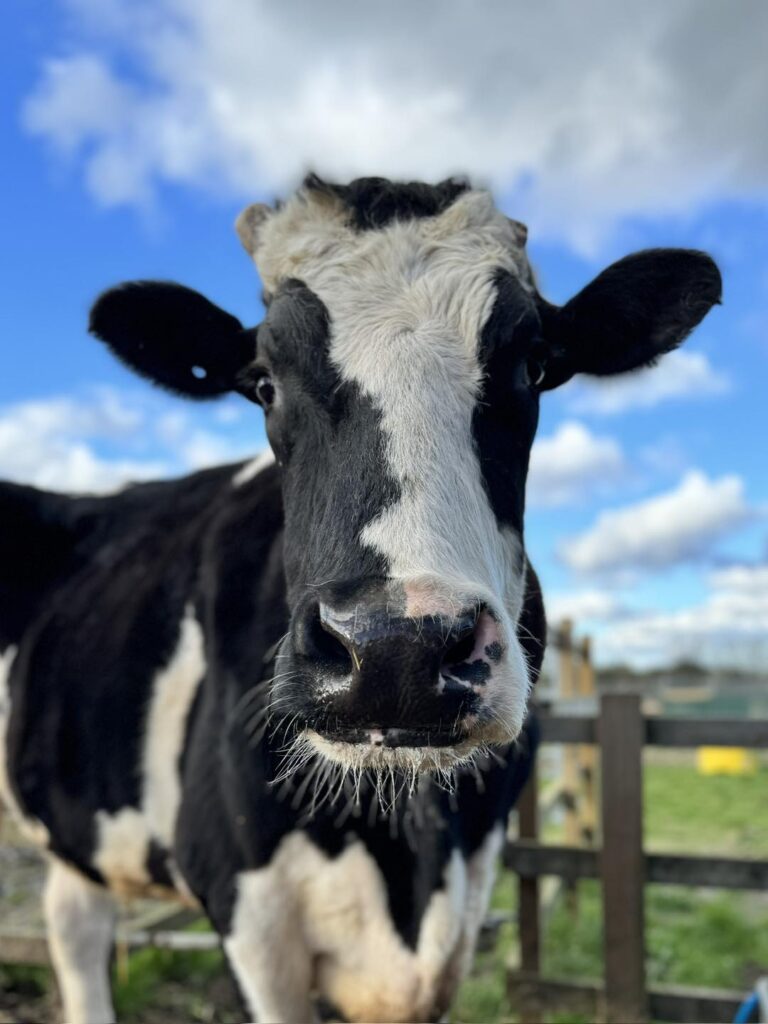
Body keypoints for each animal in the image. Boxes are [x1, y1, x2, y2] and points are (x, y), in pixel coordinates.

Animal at [0, 175, 721, 1024]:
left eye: (534, 365)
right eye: (264, 382)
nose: (395, 650)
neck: (406, 841)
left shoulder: (462, 908)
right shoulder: (248, 913)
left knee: (74, 921)